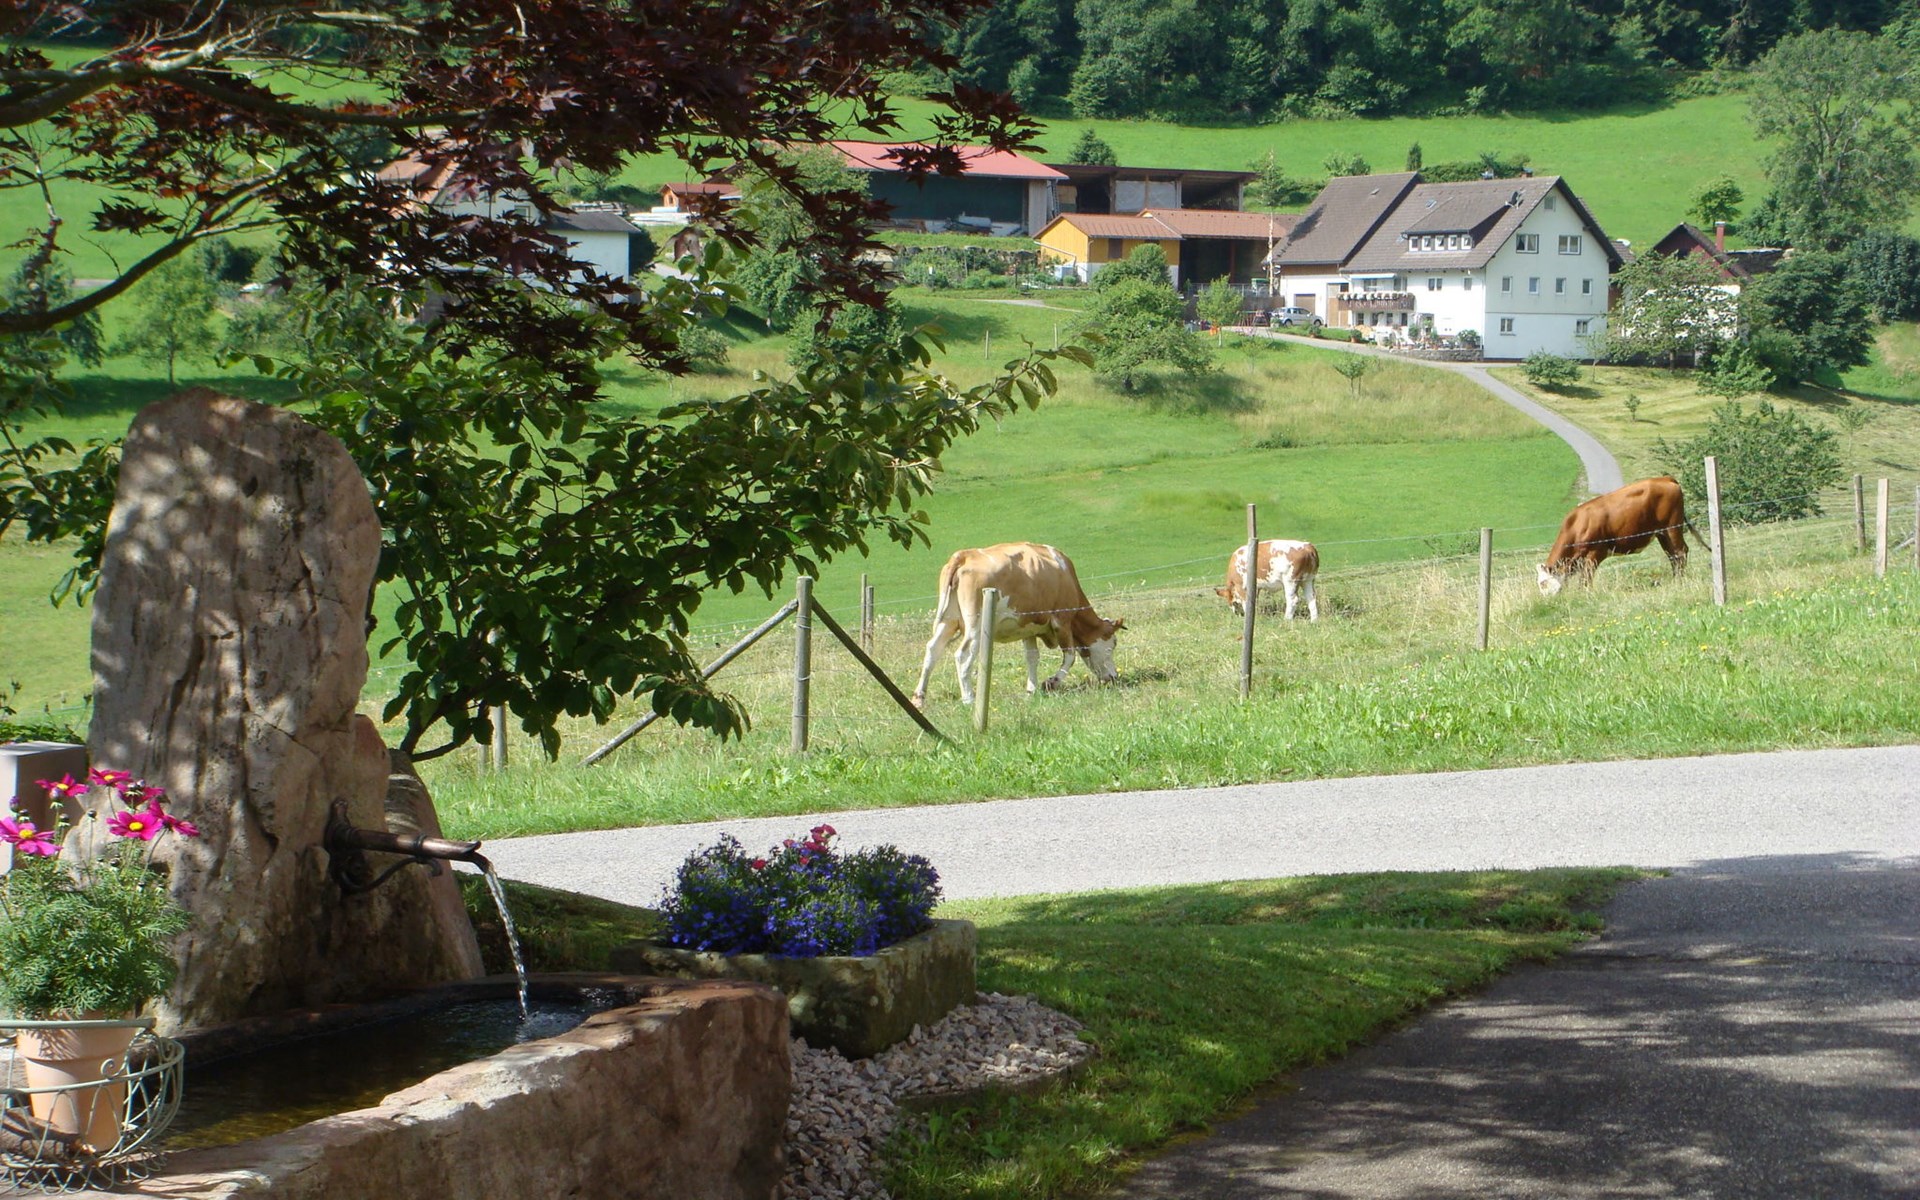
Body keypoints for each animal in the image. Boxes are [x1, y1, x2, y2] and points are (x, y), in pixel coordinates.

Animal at [910, 542, 1125, 709]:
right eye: (1112, 645)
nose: (1115, 677)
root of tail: (965, 555)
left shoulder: (1027, 627)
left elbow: (1032, 657)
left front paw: (1032, 689)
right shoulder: (1062, 620)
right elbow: (1070, 656)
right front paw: (1051, 683)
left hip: (948, 621)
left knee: (932, 650)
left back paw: (919, 697)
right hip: (976, 626)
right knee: (962, 656)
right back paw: (969, 698)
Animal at [1538, 475, 1701, 595]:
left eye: (1543, 583)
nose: (1546, 600)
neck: (1578, 525)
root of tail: (1666, 478)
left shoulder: (1595, 553)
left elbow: (1586, 577)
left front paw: (1585, 594)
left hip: (1672, 527)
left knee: (1680, 552)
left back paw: (1679, 581)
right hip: (1662, 533)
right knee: (1672, 554)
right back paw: (1675, 579)